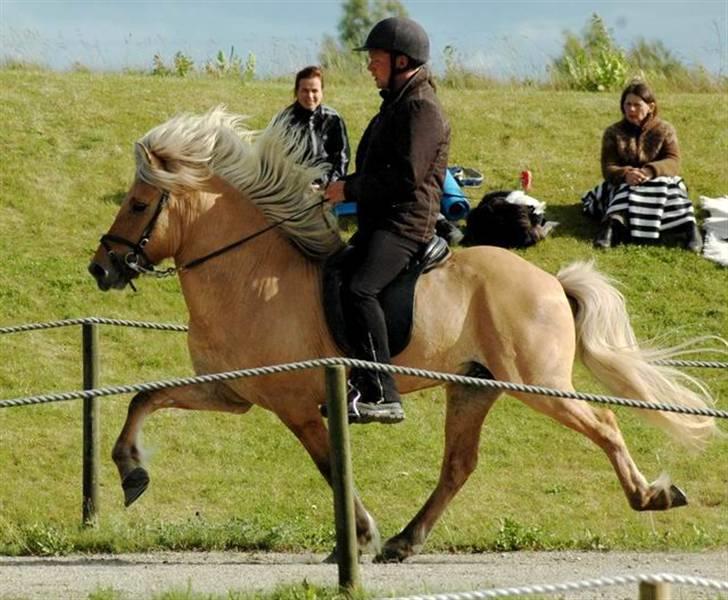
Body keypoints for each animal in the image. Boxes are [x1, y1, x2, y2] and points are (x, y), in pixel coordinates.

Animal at [89, 108, 716, 564]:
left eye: (139, 204)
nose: (102, 268)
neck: (247, 275)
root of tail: (551, 282)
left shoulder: (295, 406)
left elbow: (331, 469)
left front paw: (360, 534)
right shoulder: (232, 391)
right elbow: (146, 397)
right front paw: (131, 472)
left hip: (538, 383)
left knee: (603, 422)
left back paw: (650, 495)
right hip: (473, 387)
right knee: (459, 465)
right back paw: (405, 541)